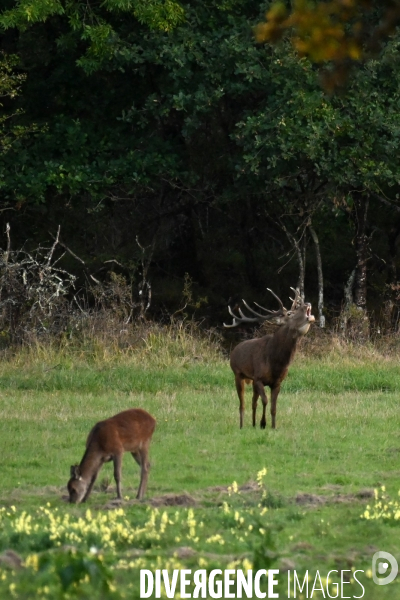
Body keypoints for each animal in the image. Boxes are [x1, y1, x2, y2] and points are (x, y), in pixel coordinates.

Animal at [223, 288, 314, 428]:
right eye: (290, 314)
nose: (307, 303)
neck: (275, 362)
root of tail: (234, 350)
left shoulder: (277, 382)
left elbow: (273, 407)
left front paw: (272, 426)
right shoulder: (259, 378)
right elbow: (265, 401)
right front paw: (263, 423)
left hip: (251, 380)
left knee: (253, 402)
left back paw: (253, 424)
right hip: (237, 374)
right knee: (242, 404)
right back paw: (242, 426)